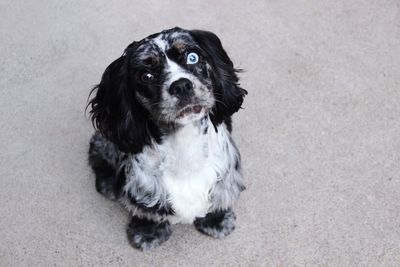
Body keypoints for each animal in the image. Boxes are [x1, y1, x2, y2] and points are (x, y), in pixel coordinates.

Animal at [86, 27, 247, 251]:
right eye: (146, 75)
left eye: (192, 57)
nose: (181, 85)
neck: (184, 146)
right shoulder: (144, 189)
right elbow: (147, 211)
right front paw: (147, 233)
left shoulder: (225, 174)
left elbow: (218, 199)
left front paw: (217, 220)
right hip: (106, 142)